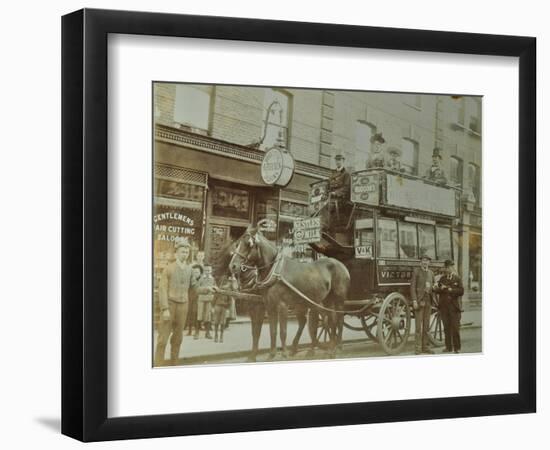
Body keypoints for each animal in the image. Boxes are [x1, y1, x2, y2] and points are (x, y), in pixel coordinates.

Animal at [230, 222, 352, 362]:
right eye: (238, 243)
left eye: (249, 244)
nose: (232, 266)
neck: (275, 270)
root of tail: (342, 265)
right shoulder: (270, 305)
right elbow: (273, 330)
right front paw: (271, 354)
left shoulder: (282, 305)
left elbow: (282, 331)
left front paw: (284, 354)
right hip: (324, 300)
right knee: (330, 321)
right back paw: (329, 348)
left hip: (338, 299)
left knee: (338, 320)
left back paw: (337, 347)